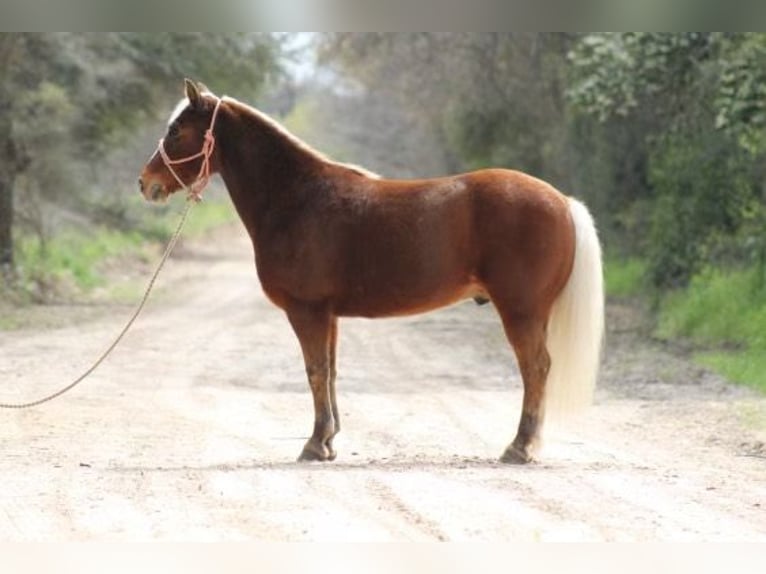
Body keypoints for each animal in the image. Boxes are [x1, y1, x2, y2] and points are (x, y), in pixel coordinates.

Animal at [140, 81, 608, 466]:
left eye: (177, 131)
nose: (145, 184)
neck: (298, 198)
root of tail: (562, 201)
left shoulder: (306, 311)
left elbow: (314, 371)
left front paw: (314, 445)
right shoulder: (327, 314)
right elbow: (329, 372)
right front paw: (329, 442)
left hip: (520, 311)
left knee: (536, 368)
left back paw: (519, 448)